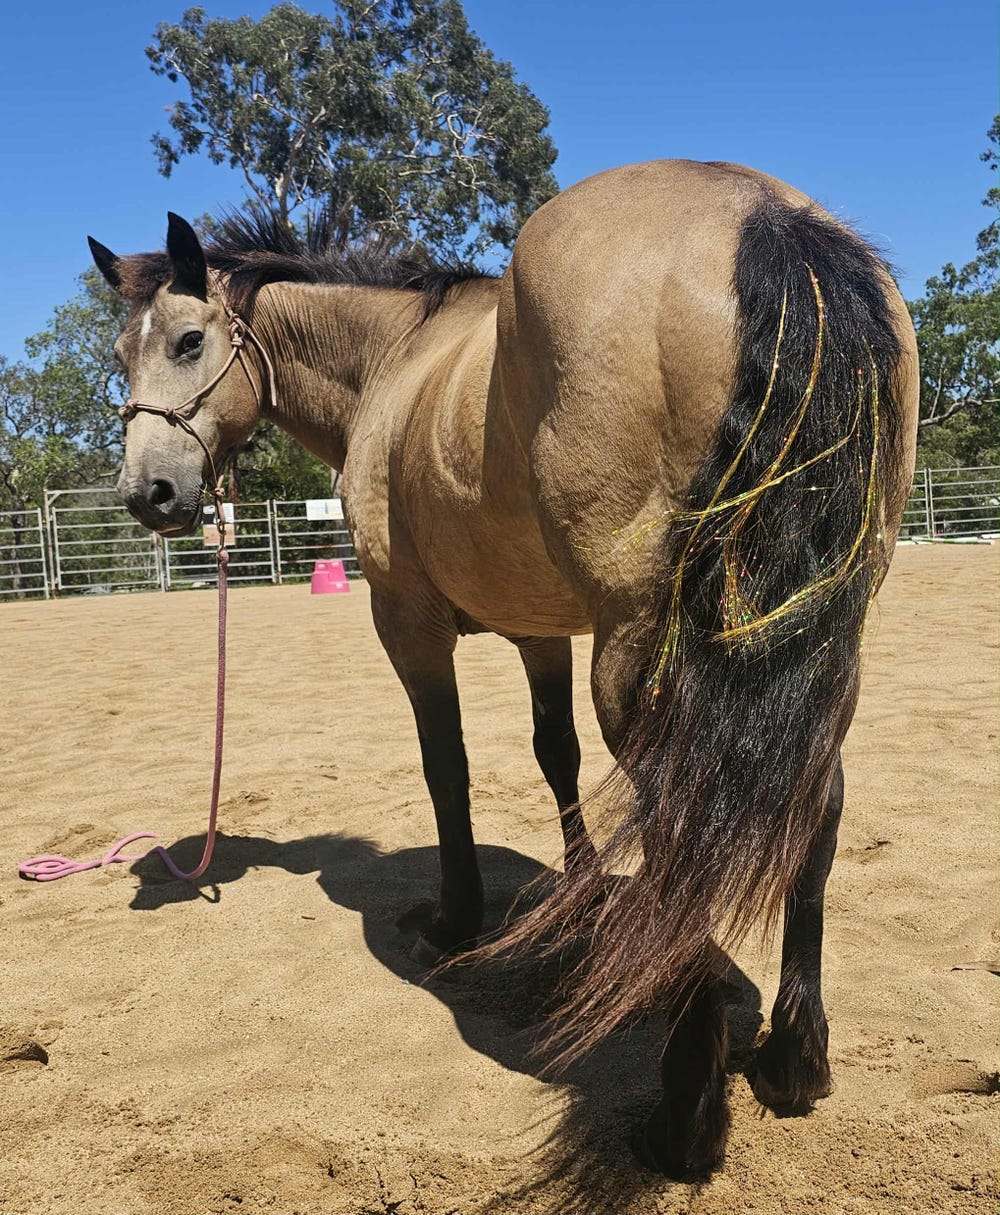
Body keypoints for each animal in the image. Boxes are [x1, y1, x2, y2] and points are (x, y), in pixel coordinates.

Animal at [88, 159, 919, 1176]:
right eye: (120, 353)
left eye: (189, 340)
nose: (148, 493)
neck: (393, 359)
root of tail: (762, 217)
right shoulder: (539, 631)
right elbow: (553, 754)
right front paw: (580, 901)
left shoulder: (405, 621)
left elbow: (446, 767)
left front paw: (456, 919)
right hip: (814, 638)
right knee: (814, 799)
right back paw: (795, 1058)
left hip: (646, 660)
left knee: (687, 819)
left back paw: (684, 1114)